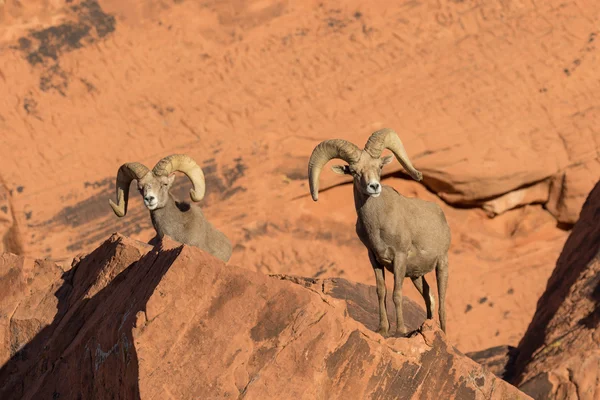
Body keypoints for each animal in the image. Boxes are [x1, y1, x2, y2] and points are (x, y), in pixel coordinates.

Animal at [310, 130, 450, 336]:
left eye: (379, 167)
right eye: (354, 171)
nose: (374, 187)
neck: (378, 224)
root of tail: (440, 214)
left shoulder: (399, 257)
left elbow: (397, 294)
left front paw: (400, 330)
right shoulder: (374, 258)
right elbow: (381, 291)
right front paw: (383, 329)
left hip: (442, 264)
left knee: (441, 301)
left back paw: (443, 332)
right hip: (416, 275)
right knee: (429, 297)